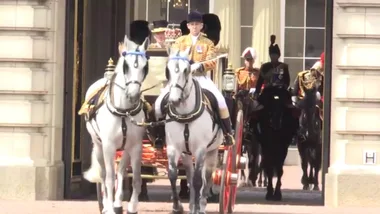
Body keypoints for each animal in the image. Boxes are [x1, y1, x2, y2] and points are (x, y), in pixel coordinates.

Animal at [82, 36, 149, 214]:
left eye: (145, 67)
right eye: (126, 66)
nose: (133, 95)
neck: (124, 111)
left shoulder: (135, 146)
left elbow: (136, 178)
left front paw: (132, 207)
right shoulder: (108, 146)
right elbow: (109, 179)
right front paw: (109, 207)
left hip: (124, 149)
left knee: (121, 171)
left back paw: (118, 204)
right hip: (99, 146)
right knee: (104, 175)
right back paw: (106, 204)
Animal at [162, 47, 224, 214]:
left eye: (186, 70)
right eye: (168, 70)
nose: (174, 100)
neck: (185, 114)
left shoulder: (201, 149)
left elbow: (198, 180)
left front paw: (198, 207)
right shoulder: (173, 147)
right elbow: (173, 175)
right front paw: (177, 206)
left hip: (212, 151)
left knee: (206, 177)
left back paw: (201, 205)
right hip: (187, 154)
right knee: (189, 175)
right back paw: (191, 205)